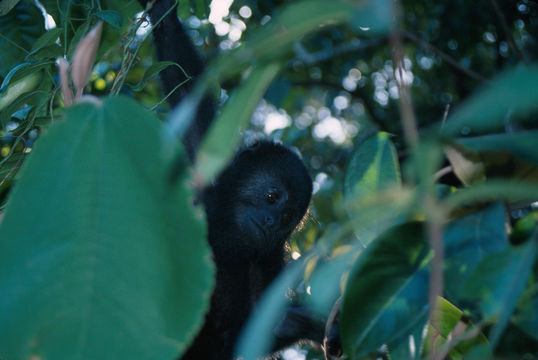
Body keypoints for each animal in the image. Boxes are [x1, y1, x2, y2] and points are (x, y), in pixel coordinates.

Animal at [138, 1, 326, 358]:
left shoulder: (269, 257)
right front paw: (163, 13)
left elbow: (259, 328)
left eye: (286, 218)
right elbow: (188, 90)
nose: (269, 222)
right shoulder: (206, 170)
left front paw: (311, 324)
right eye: (271, 197)